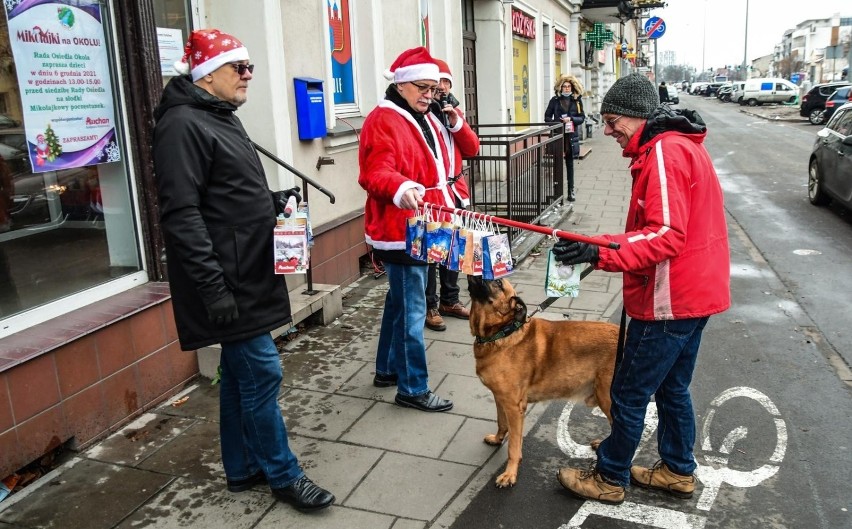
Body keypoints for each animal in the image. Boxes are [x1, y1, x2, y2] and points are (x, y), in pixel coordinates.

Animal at [466, 276, 620, 486]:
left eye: (497, 282)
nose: (474, 274)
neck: (503, 331)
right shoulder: (500, 398)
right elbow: (501, 423)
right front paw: (497, 439)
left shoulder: (514, 407)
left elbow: (513, 446)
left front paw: (510, 473)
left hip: (607, 399)